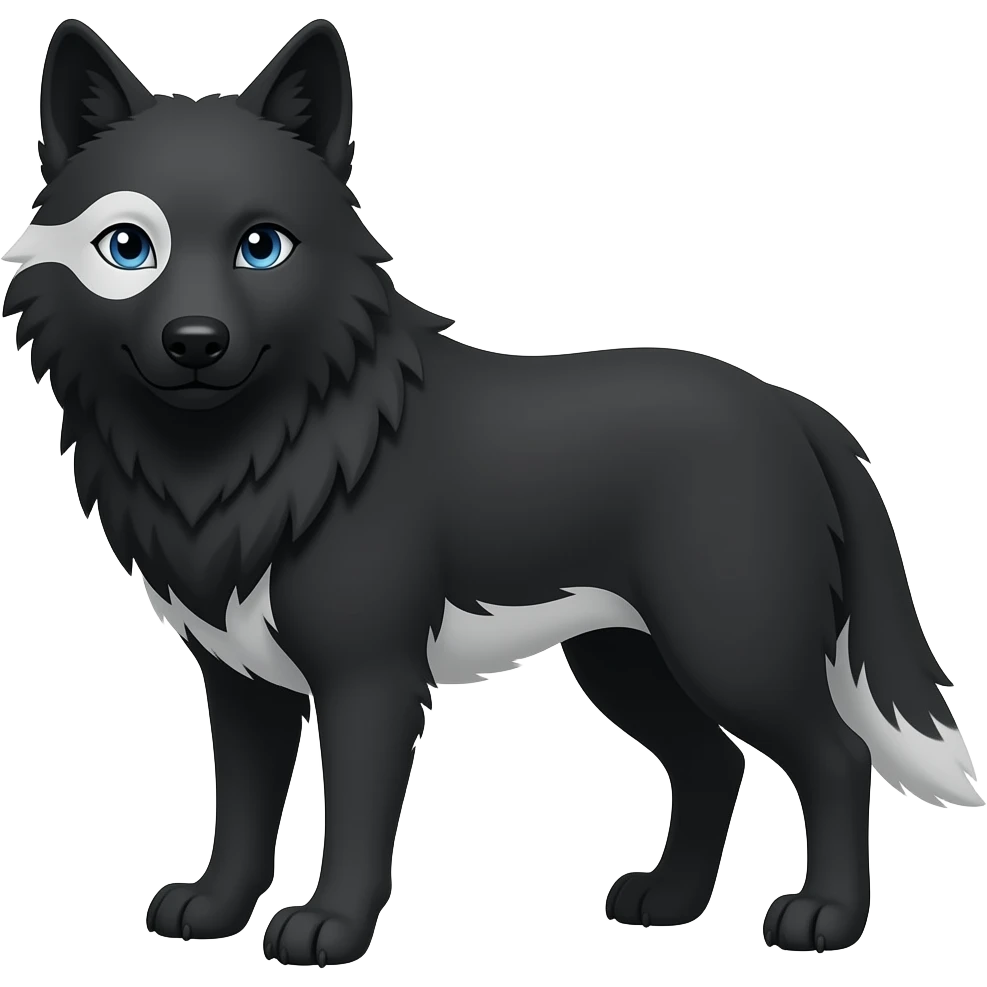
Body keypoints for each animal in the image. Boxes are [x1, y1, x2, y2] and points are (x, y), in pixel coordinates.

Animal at [3, 15, 982, 968]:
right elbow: (241, 809)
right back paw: (667, 902)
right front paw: (213, 910)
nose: (196, 341)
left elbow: (354, 816)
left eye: (262, 247)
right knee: (713, 763)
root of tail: (795, 408)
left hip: (730, 647)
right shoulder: (240, 679)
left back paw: (824, 918)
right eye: (128, 248)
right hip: (624, 658)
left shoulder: (369, 676)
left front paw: (329, 929)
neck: (255, 456)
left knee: (834, 754)